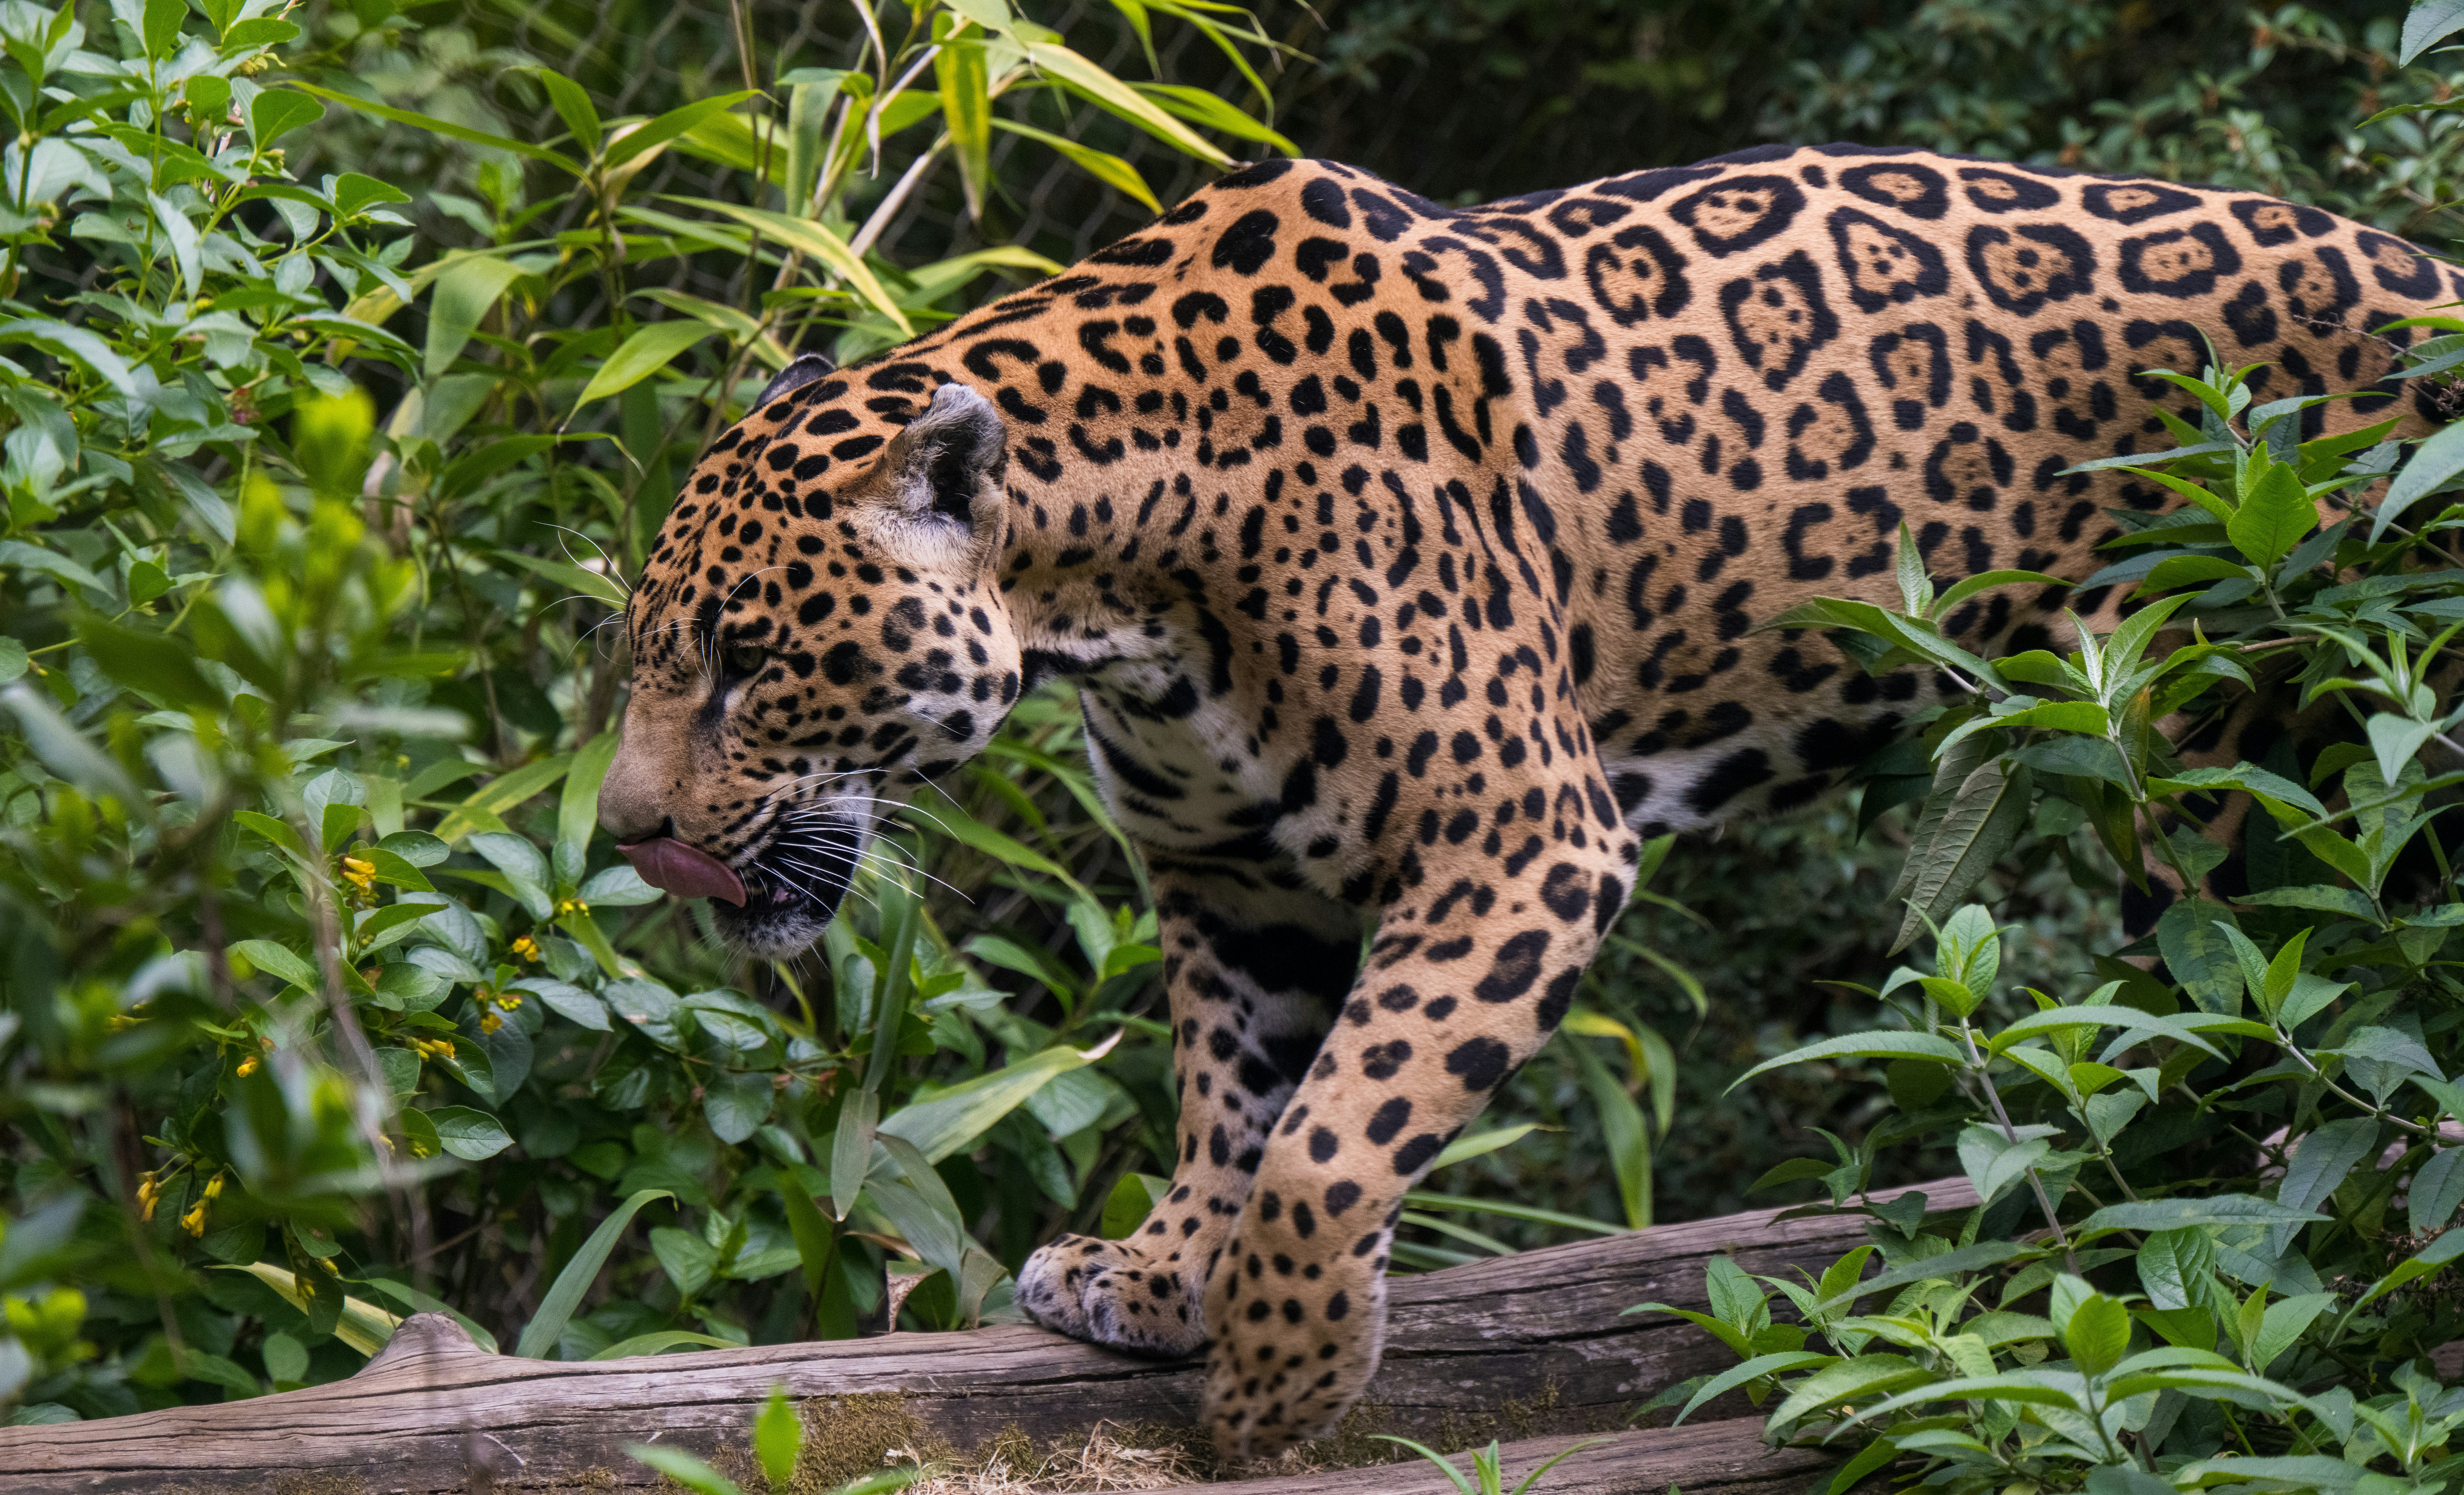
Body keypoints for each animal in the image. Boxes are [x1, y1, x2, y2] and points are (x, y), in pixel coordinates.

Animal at [595, 143, 2461, 1461]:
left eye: (747, 659)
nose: (623, 833)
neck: (1118, 576)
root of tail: (2425, 271)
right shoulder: (1230, 878)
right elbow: (1234, 1100)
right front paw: (1162, 1274)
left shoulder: (1519, 837)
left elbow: (1333, 1137)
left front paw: (1279, 1377)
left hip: (2237, 739)